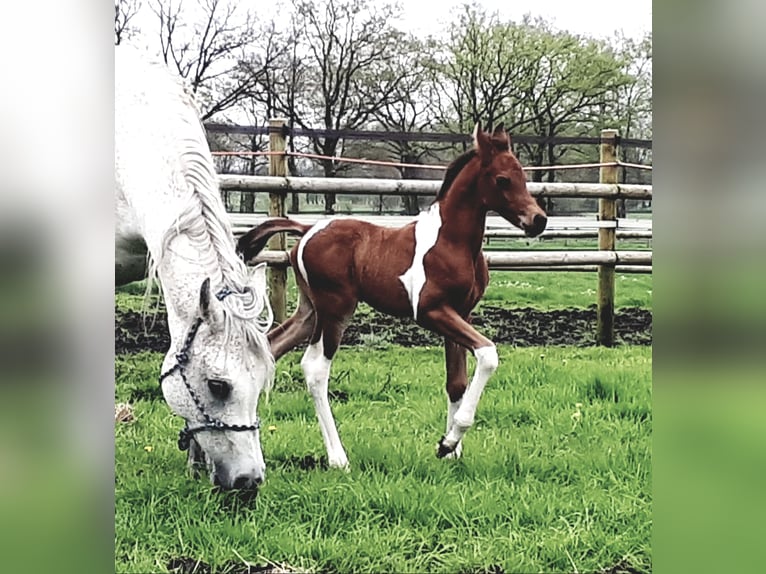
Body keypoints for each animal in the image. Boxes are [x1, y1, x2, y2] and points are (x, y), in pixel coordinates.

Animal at [238, 124, 544, 470]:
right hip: (336, 310)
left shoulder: (460, 312)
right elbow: (488, 354)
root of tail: (306, 230)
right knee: (315, 369)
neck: (452, 242)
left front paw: (450, 450)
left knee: (269, 350)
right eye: (502, 179)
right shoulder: (431, 311)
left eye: (522, 176)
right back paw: (338, 458)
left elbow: (456, 382)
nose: (538, 220)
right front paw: (449, 441)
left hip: (310, 311)